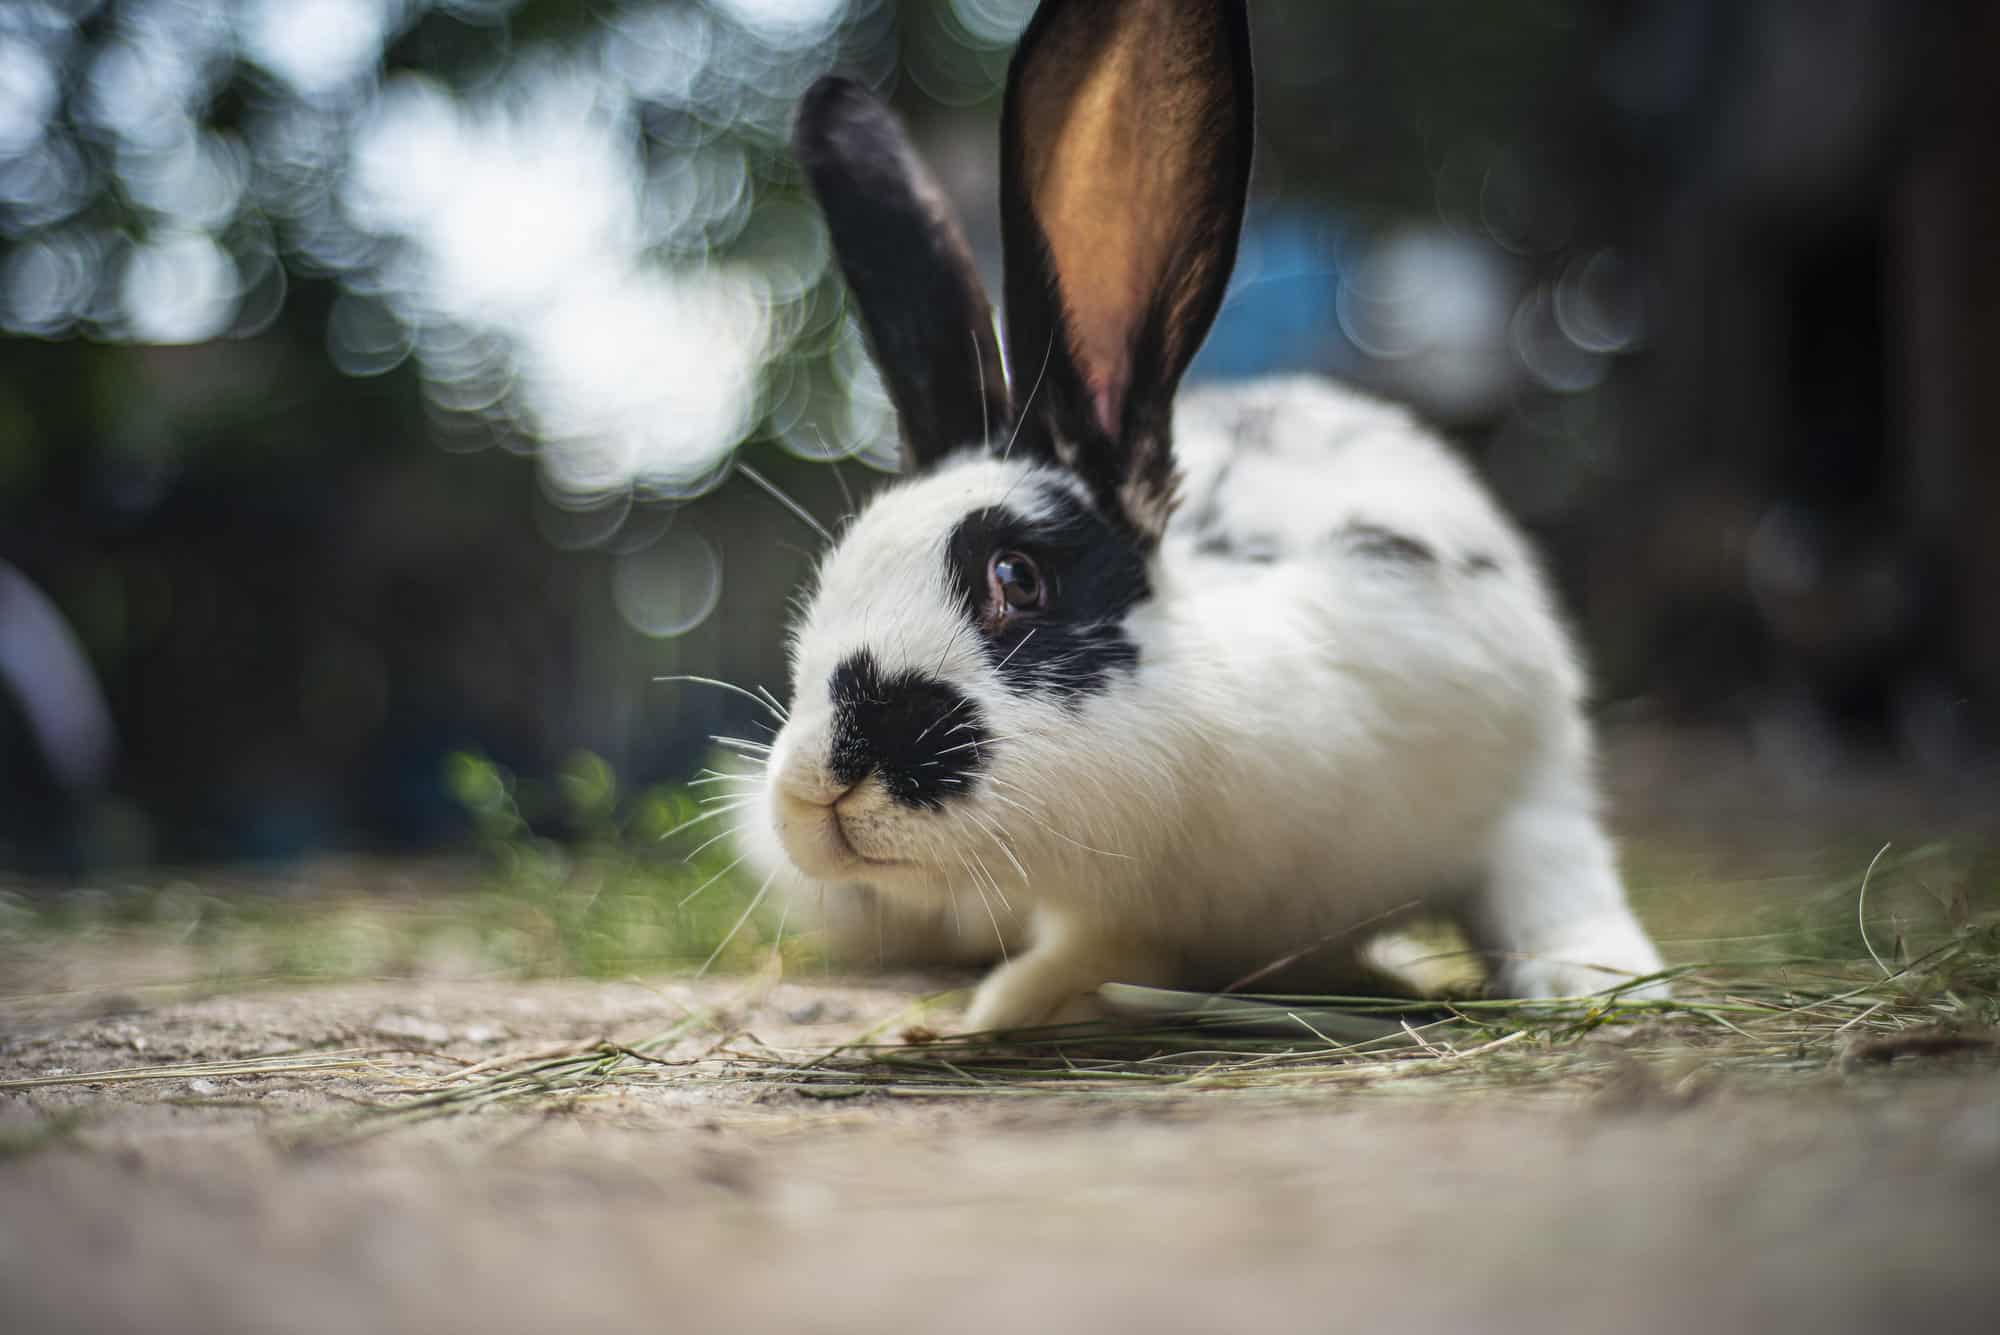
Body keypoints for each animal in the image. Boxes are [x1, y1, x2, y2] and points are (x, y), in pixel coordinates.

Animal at [740, 0, 1672, 1031]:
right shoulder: (1126, 915)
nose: (818, 784)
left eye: (1017, 577)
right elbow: (1100, 949)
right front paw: (1019, 1000)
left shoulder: (1528, 776)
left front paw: (1599, 978)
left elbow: (1551, 879)